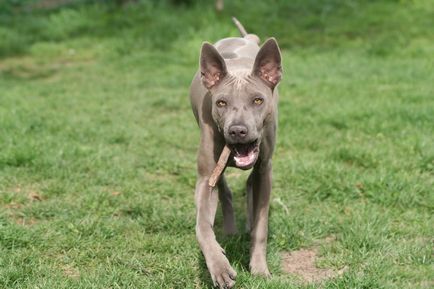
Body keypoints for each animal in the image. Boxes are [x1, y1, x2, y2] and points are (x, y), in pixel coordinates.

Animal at [190, 18, 282, 288]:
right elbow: (202, 227)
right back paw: (231, 230)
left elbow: (262, 228)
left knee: (251, 184)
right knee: (225, 190)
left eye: (258, 100)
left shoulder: (265, 170)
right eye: (221, 103)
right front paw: (219, 266)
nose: (238, 130)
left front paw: (260, 269)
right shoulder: (205, 178)